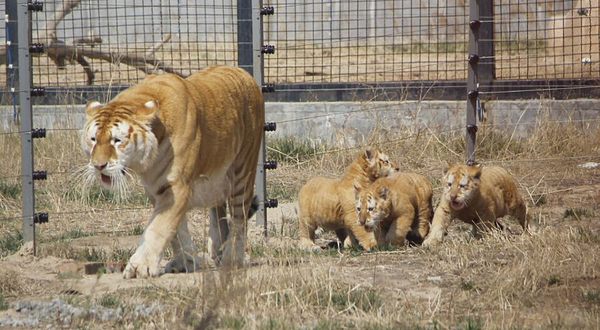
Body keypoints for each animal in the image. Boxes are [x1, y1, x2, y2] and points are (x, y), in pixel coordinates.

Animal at [81, 65, 264, 278]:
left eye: (117, 140)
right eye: (93, 139)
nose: (98, 165)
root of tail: (242, 71)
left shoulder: (176, 186)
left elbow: (158, 228)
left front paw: (139, 267)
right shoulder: (157, 187)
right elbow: (176, 230)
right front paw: (184, 262)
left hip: (243, 172)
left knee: (238, 220)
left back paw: (231, 259)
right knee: (218, 208)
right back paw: (217, 249)